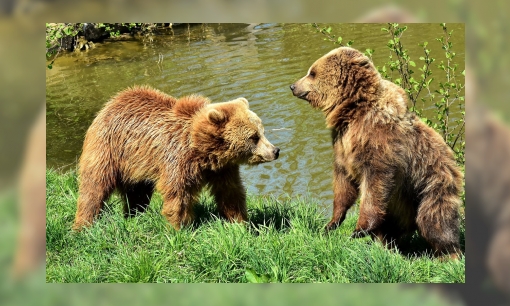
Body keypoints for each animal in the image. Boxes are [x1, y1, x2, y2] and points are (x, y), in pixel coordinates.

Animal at [72, 85, 278, 231]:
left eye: (262, 131)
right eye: (254, 137)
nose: (275, 150)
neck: (204, 152)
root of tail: (110, 104)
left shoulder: (222, 169)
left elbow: (230, 193)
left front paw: (240, 223)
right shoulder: (177, 159)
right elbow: (178, 195)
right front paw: (179, 228)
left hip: (136, 164)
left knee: (137, 193)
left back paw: (134, 215)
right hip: (108, 149)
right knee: (94, 187)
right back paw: (83, 225)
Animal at [290, 47, 462, 258]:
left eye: (312, 73)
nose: (293, 86)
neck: (353, 112)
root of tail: (453, 164)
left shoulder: (379, 143)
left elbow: (376, 183)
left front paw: (358, 229)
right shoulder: (342, 144)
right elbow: (343, 183)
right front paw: (331, 223)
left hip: (430, 184)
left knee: (435, 220)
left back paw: (449, 254)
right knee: (393, 227)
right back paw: (385, 245)